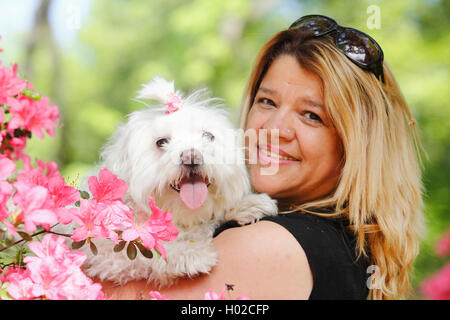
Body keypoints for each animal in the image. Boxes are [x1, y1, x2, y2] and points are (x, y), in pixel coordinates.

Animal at [68, 77, 278, 288]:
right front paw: (189, 254)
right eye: (161, 142)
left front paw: (248, 204)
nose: (191, 157)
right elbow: (145, 249)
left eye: (208, 136)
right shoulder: (105, 254)